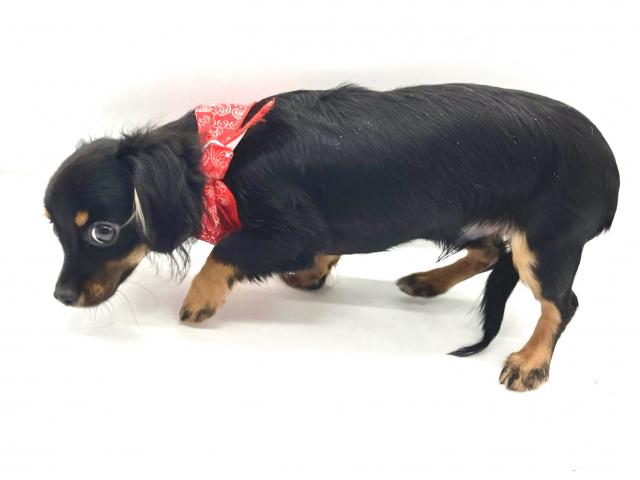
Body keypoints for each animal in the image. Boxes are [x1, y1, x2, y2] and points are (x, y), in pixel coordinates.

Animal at [44, 84, 619, 391]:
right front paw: (316, 273)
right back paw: (426, 281)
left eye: (101, 231)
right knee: (487, 252)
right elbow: (323, 249)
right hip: (463, 218)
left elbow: (227, 249)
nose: (62, 297)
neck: (222, 154)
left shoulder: (290, 229)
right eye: (55, 228)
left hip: (544, 243)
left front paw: (200, 299)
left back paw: (531, 362)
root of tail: (611, 167)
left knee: (561, 304)